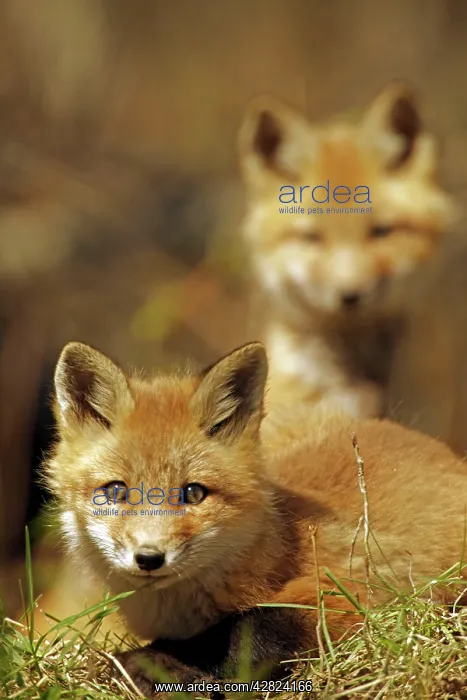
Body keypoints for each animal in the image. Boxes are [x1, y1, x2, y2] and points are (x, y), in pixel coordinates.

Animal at [43, 340, 467, 697]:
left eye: (193, 493)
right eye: (116, 491)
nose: (149, 558)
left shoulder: (347, 592)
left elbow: (253, 628)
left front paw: (161, 666)